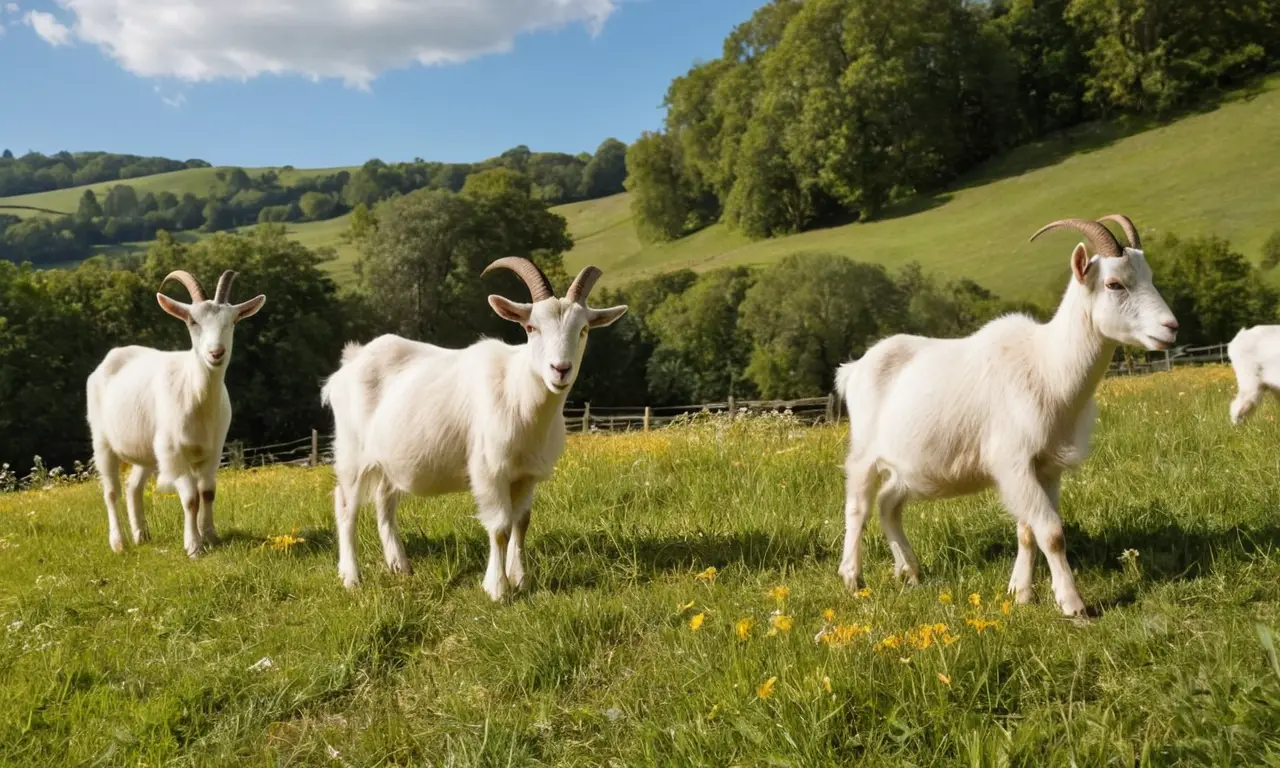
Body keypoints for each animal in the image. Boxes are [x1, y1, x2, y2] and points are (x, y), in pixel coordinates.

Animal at [86, 270, 266, 556]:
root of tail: (111, 358)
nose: (216, 353)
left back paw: (141, 534)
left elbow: (208, 492)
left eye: (232, 321)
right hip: (102, 440)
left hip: (147, 450)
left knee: (133, 486)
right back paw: (118, 542)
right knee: (111, 491)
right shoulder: (174, 452)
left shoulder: (213, 449)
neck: (194, 392)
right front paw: (193, 546)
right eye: (193, 321)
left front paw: (210, 535)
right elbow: (191, 498)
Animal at [320, 258, 628, 599]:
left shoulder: (526, 474)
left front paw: (520, 578)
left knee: (384, 502)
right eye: (531, 328)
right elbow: (501, 527)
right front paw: (497, 588)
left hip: (389, 458)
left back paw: (400, 566)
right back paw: (351, 577)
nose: (560, 369)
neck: (517, 392)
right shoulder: (489, 470)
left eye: (583, 329)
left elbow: (522, 523)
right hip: (351, 453)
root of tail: (351, 362)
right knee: (345, 506)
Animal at [834, 215, 1177, 616]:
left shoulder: (1046, 467)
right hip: (865, 452)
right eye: (1113, 283)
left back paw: (910, 572)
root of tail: (853, 369)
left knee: (889, 504)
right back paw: (853, 580)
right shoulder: (1013, 462)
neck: (1047, 365)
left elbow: (1028, 530)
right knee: (858, 506)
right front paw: (1073, 605)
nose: (1170, 328)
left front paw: (1021, 593)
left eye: (1149, 275)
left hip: (909, 468)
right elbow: (1052, 533)